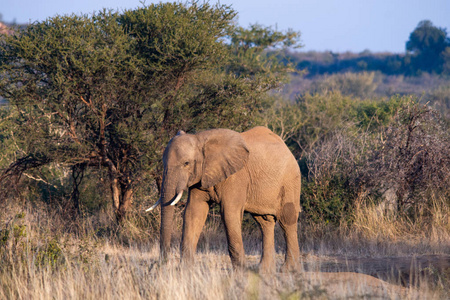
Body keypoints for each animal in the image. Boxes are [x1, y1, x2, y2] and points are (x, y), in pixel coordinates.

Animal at [148, 125, 300, 274]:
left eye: (186, 163)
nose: (160, 265)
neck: (200, 139)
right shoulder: (201, 176)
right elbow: (193, 212)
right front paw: (184, 271)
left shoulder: (236, 175)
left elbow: (229, 213)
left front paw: (241, 273)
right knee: (264, 222)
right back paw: (264, 271)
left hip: (290, 181)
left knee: (287, 221)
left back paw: (289, 270)